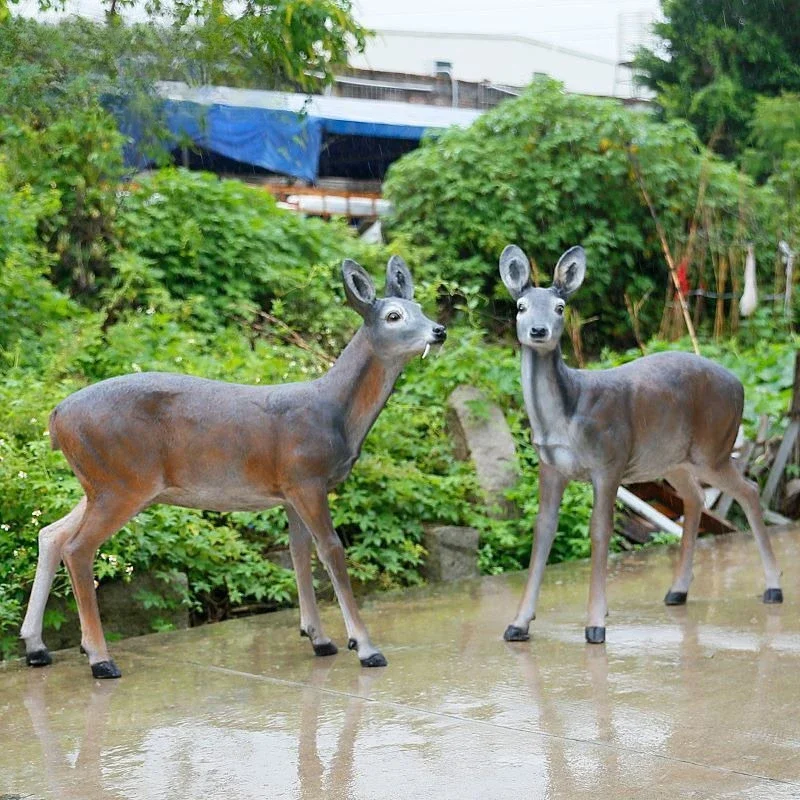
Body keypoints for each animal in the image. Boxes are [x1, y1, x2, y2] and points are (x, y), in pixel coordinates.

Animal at [20, 256, 446, 678]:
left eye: (421, 307)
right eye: (393, 315)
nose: (440, 330)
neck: (335, 413)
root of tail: (56, 418)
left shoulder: (290, 490)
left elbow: (299, 553)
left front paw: (319, 639)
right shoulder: (306, 477)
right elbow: (332, 550)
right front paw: (366, 647)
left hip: (101, 481)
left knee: (51, 533)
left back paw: (37, 648)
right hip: (122, 479)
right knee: (77, 547)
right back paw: (100, 659)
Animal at [498, 244, 783, 646]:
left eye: (560, 307)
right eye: (521, 306)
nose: (538, 331)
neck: (565, 417)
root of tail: (741, 383)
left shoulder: (609, 461)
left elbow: (600, 531)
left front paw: (595, 624)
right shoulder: (550, 466)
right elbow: (543, 532)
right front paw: (518, 624)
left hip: (714, 446)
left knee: (750, 490)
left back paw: (773, 587)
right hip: (673, 460)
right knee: (696, 497)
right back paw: (677, 591)